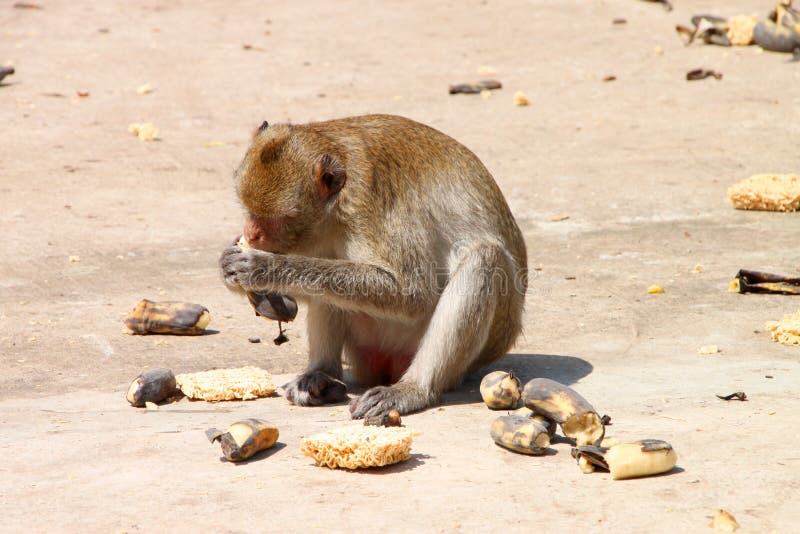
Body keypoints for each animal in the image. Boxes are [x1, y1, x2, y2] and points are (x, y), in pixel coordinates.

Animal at [222, 115, 528, 420]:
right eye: (249, 209)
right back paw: (321, 375)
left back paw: (414, 389)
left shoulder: (372, 208)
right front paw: (240, 274)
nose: (250, 233)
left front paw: (264, 268)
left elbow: (412, 294)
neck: (337, 204)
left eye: (280, 218)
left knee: (484, 258)